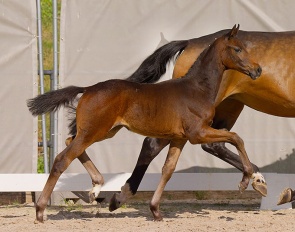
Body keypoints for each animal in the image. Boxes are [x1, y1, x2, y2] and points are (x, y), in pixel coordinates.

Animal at [27, 24, 264, 222]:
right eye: (237, 49)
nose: (258, 70)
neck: (197, 88)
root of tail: (87, 89)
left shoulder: (179, 138)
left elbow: (168, 170)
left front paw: (156, 211)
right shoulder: (198, 133)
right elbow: (236, 138)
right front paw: (246, 179)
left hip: (104, 131)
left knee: (70, 141)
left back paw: (97, 186)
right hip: (94, 131)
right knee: (62, 159)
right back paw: (40, 211)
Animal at [108, 28, 295, 209]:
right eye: (237, 50)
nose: (258, 70)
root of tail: (190, 42)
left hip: (229, 106)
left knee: (215, 144)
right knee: (153, 144)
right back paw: (122, 197)